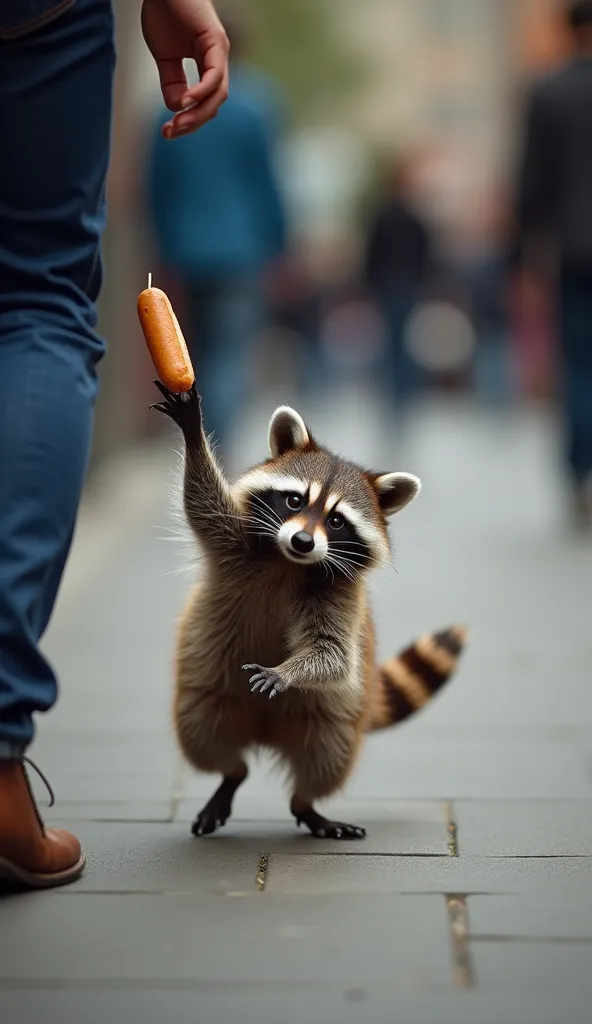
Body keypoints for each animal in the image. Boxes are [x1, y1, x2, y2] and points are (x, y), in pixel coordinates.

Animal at [150, 385, 464, 839]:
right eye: (295, 500)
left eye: (336, 521)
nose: (302, 541)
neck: (288, 563)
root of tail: (265, 733)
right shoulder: (234, 542)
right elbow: (202, 502)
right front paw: (193, 432)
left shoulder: (339, 597)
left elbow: (333, 654)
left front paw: (287, 671)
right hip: (205, 694)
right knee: (203, 738)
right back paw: (231, 774)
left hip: (334, 717)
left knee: (327, 759)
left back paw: (308, 804)